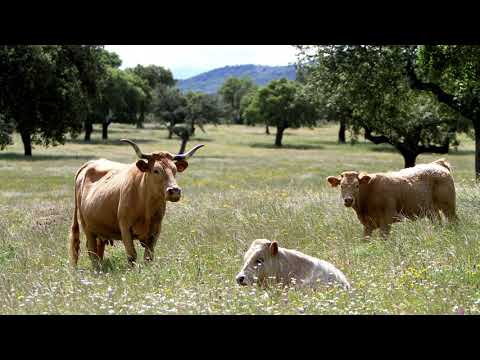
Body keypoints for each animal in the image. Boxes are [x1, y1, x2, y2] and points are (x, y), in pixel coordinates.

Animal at [68, 139, 203, 268]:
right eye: (156, 170)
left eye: (175, 170)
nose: (174, 191)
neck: (146, 207)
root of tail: (89, 164)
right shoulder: (125, 227)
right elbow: (131, 255)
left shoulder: (156, 230)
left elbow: (148, 256)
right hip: (87, 226)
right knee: (92, 251)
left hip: (100, 227)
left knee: (98, 249)